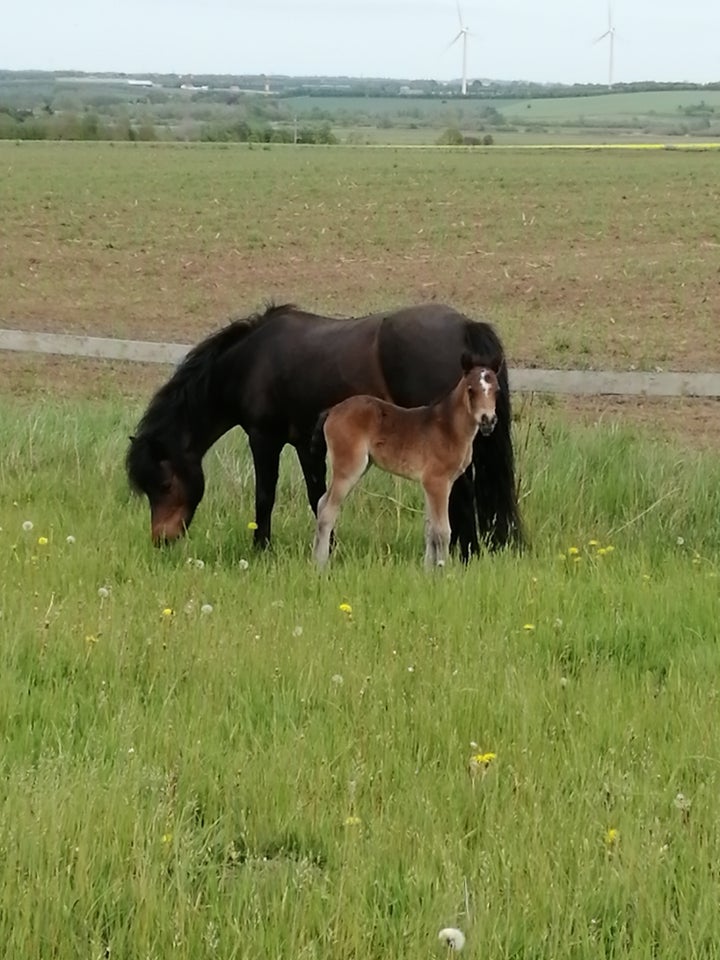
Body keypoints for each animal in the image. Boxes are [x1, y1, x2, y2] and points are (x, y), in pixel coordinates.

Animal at [316, 352, 500, 568]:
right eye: (471, 390)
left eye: (496, 390)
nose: (488, 420)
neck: (449, 428)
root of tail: (332, 412)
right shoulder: (436, 481)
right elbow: (442, 531)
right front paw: (444, 570)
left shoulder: (436, 484)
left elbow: (430, 529)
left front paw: (428, 570)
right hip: (349, 468)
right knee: (328, 511)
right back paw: (320, 565)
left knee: (321, 503)